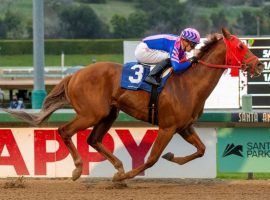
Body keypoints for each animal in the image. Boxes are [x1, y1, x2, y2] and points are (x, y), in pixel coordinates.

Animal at [3, 28, 262, 181]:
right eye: (241, 46)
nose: (259, 64)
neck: (189, 83)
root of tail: (74, 75)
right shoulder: (168, 127)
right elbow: (151, 158)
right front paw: (126, 176)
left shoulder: (184, 126)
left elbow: (201, 150)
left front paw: (171, 157)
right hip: (90, 114)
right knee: (64, 130)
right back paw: (79, 169)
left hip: (109, 114)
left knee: (93, 139)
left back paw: (117, 166)